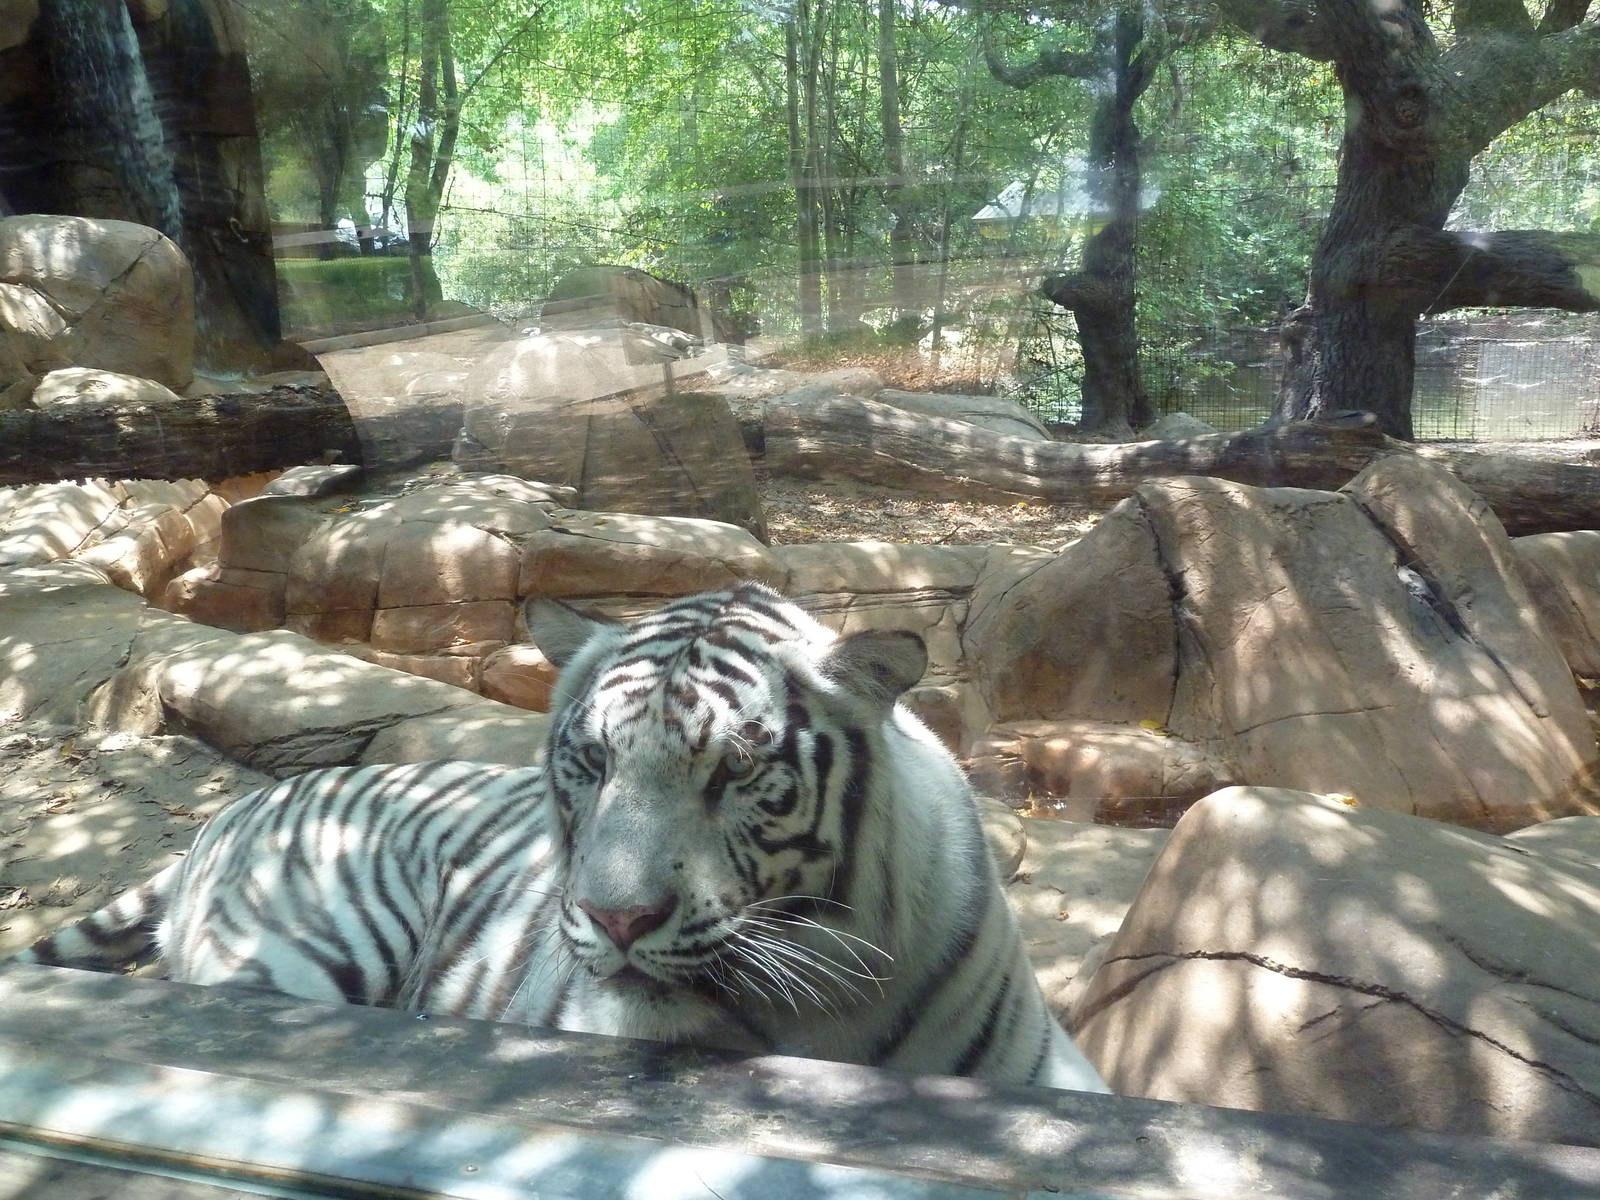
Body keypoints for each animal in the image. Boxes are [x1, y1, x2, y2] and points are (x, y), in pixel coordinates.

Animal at [15, 583, 1109, 1093]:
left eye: (736, 770)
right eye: (588, 762)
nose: (618, 920)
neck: (818, 1011)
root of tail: (231, 812)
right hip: (305, 952)